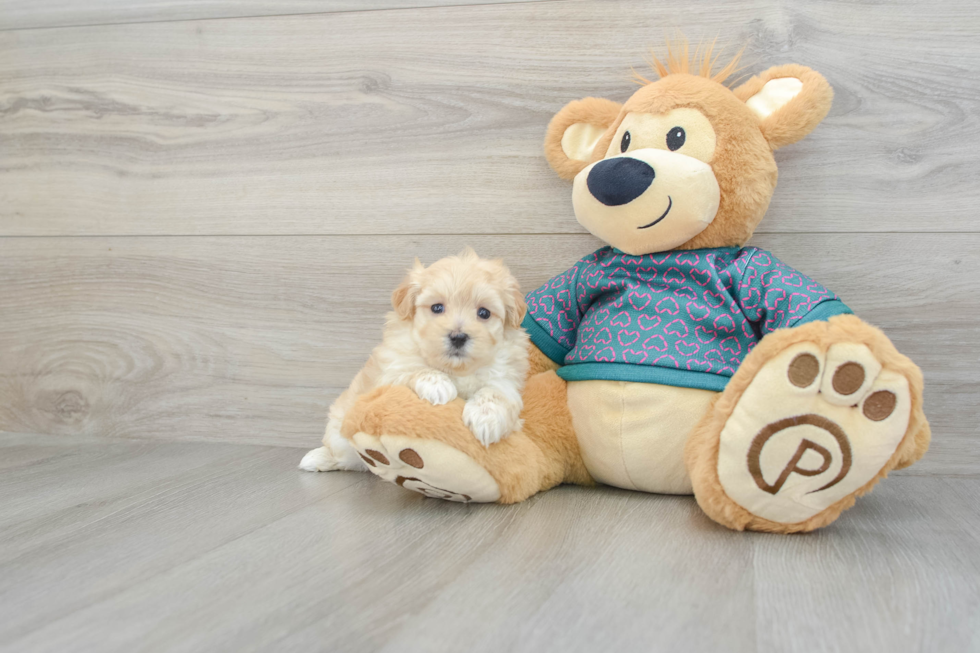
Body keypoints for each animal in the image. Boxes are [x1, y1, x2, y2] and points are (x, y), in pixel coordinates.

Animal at [298, 247, 528, 472]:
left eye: (484, 313)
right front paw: (437, 385)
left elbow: (496, 393)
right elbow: (414, 369)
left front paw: (486, 419)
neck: (455, 369)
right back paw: (318, 458)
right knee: (344, 456)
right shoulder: (390, 370)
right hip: (340, 432)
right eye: (437, 308)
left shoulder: (505, 378)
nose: (458, 336)